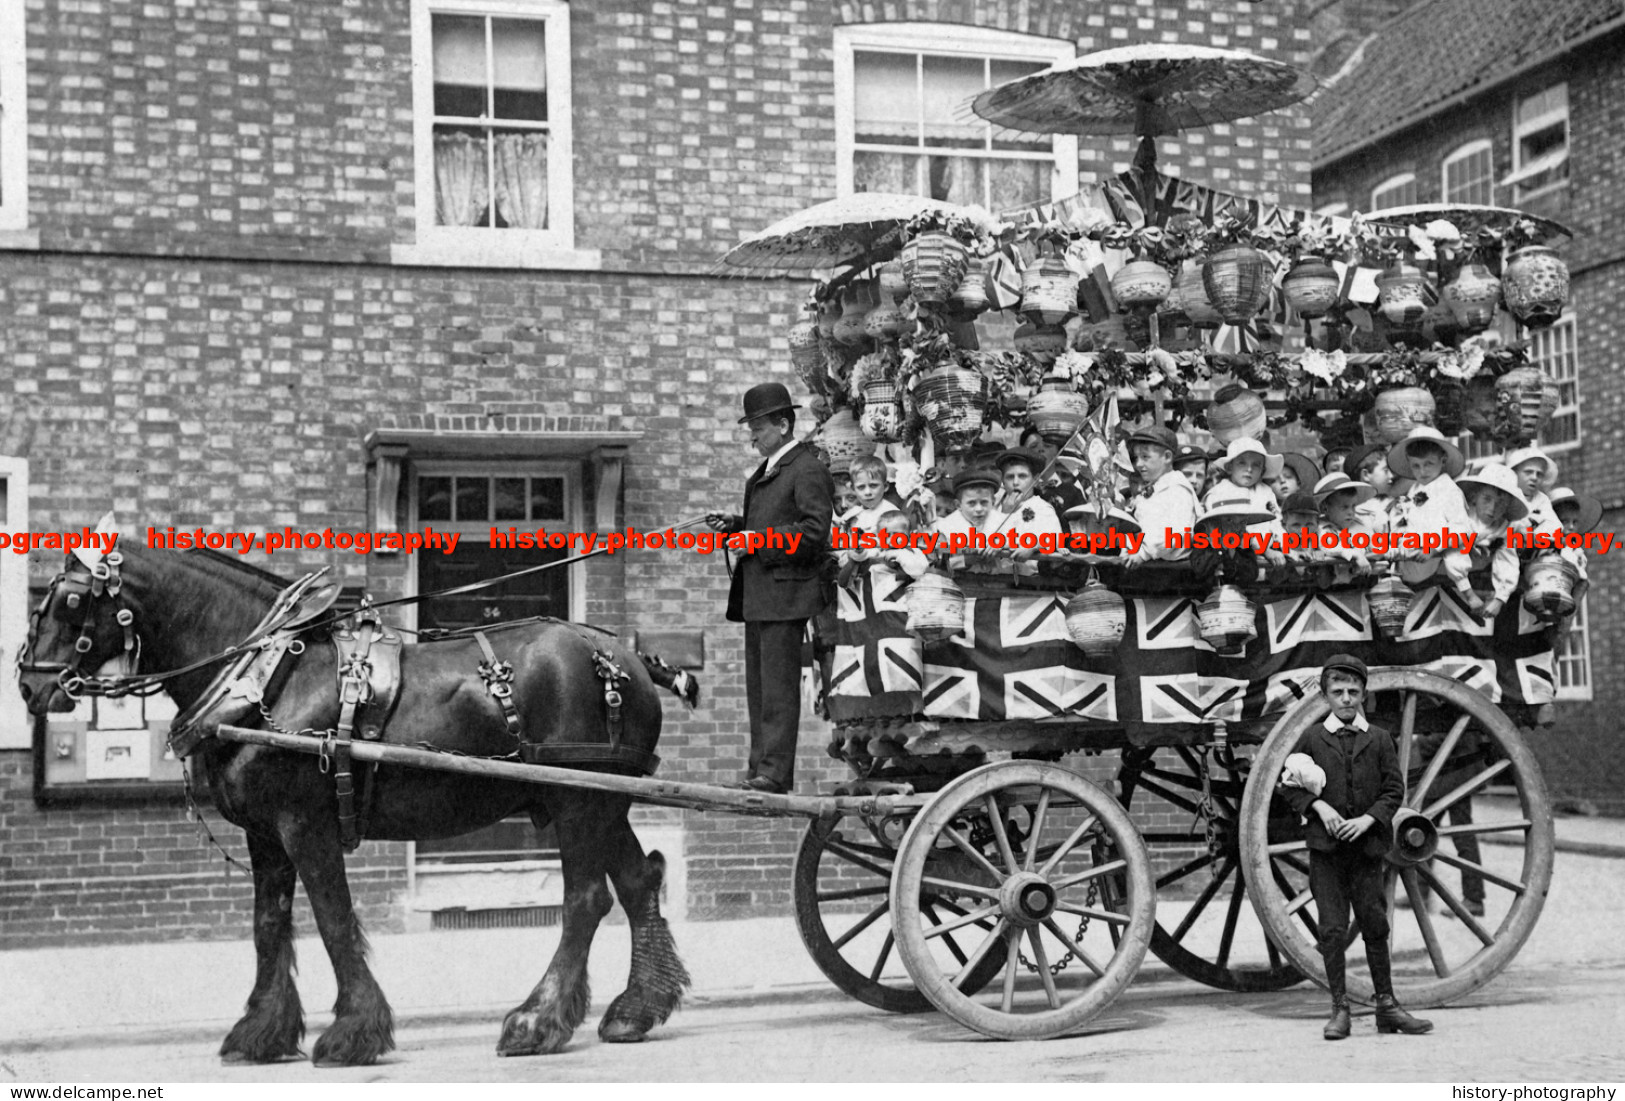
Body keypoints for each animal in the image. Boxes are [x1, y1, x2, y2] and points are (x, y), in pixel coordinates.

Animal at [17, 542, 692, 1071]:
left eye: (69, 601)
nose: (29, 684)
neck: (263, 678)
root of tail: (629, 659)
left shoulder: (304, 822)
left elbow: (333, 917)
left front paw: (353, 1032)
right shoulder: (265, 832)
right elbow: (269, 924)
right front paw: (262, 1032)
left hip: (578, 798)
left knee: (586, 899)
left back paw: (538, 1020)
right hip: (605, 803)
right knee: (637, 881)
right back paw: (636, 1009)